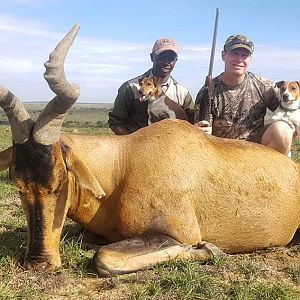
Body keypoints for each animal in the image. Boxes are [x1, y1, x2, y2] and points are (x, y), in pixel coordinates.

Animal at [0, 24, 300, 278]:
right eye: (17, 183)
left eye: (59, 183)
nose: (38, 263)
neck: (124, 162)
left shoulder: (177, 233)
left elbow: (103, 258)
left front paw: (209, 248)